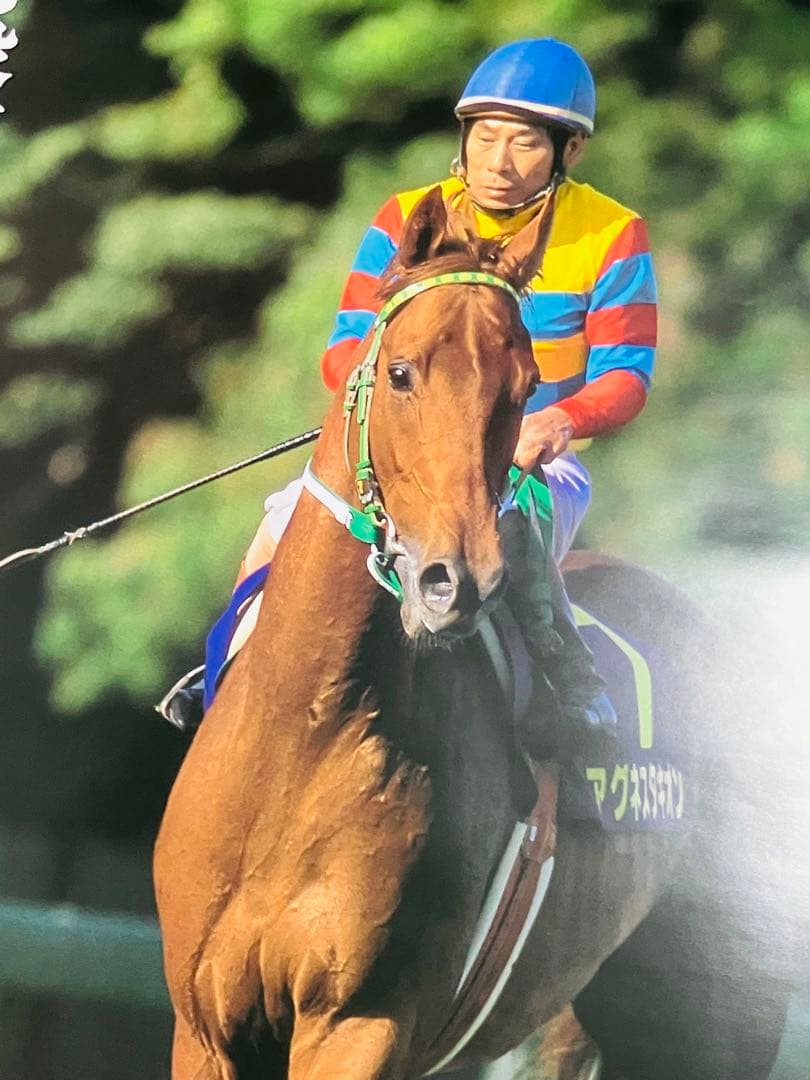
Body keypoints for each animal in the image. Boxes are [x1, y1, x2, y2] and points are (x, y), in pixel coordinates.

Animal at [153, 187, 790, 1079]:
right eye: (400, 372)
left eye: (526, 387)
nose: (458, 580)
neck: (306, 732)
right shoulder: (205, 1026)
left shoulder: (363, 1022)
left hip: (722, 1019)